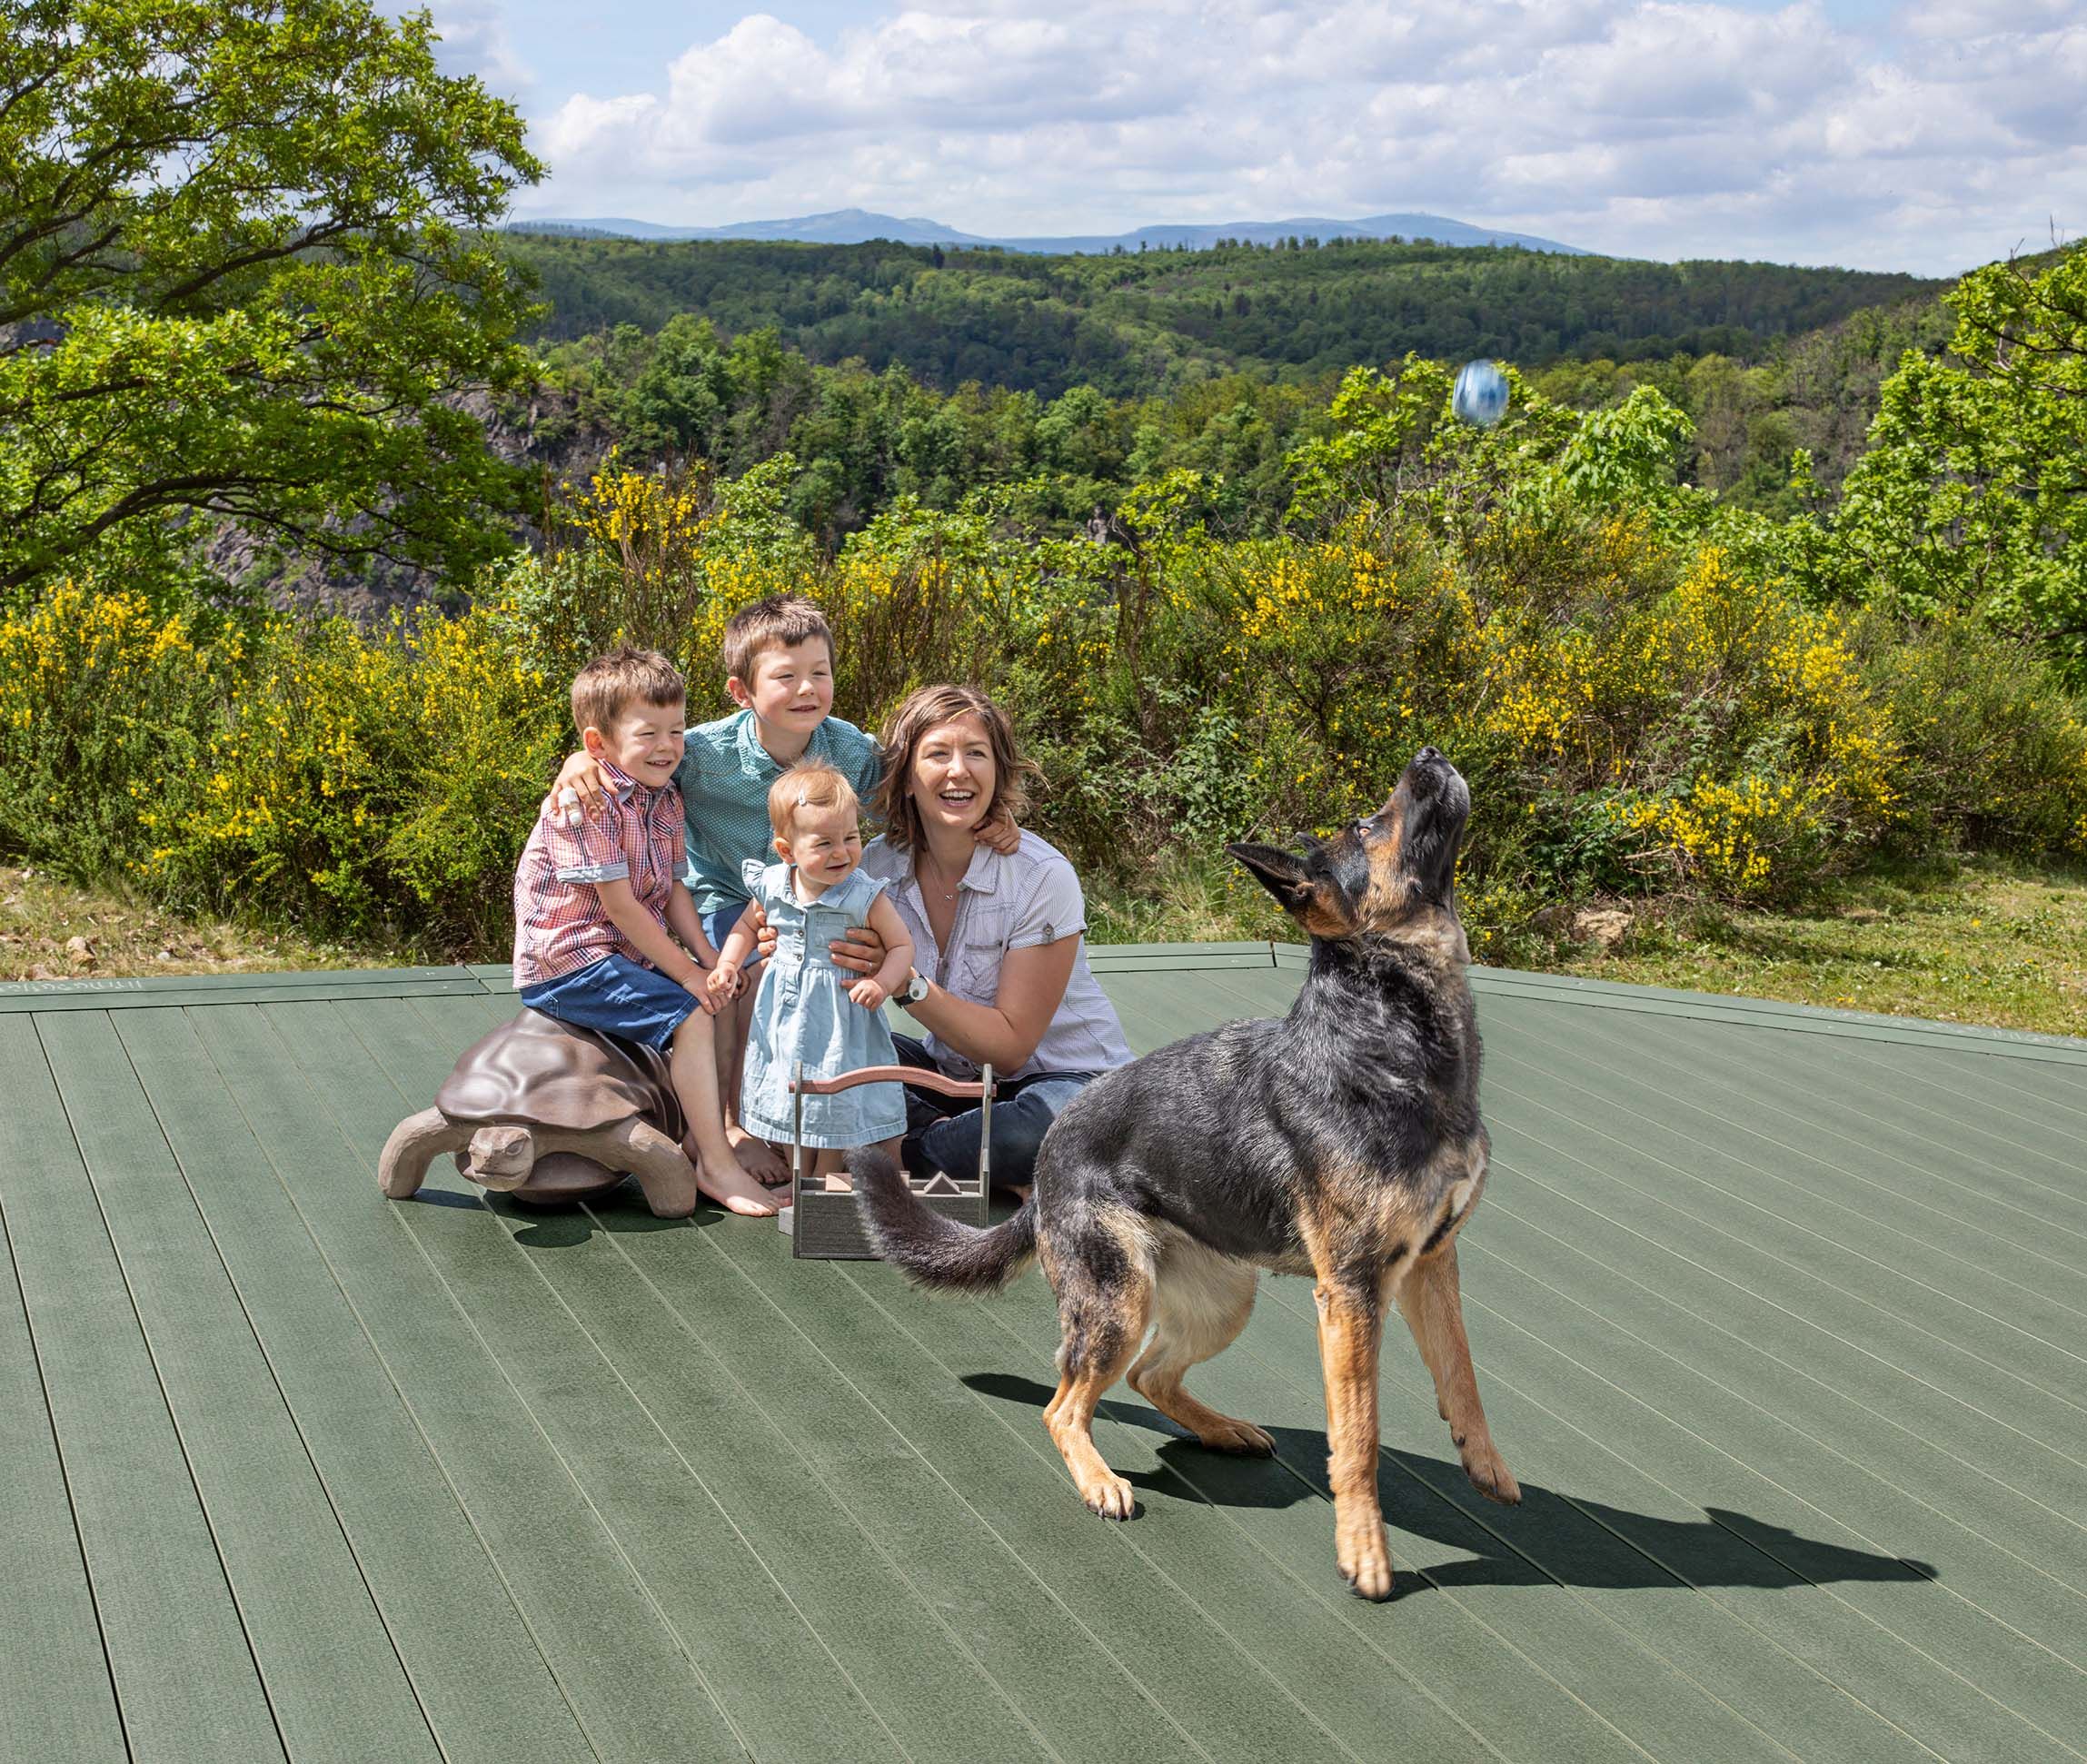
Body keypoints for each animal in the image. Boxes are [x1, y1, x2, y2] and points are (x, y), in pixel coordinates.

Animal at [847, 743, 1519, 1594]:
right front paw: (1364, 1548)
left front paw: (1486, 1466)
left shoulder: (1431, 1263)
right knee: (1065, 1407)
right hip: (1120, 1302)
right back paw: (1099, 1481)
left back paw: (1220, 1428)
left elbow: (1462, 1377)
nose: (1428, 754)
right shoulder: (1354, 1293)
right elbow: (1358, 1434)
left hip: (1223, 1300)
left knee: (1149, 1378)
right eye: (1367, 825)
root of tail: (1050, 1155)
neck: (1389, 1028)